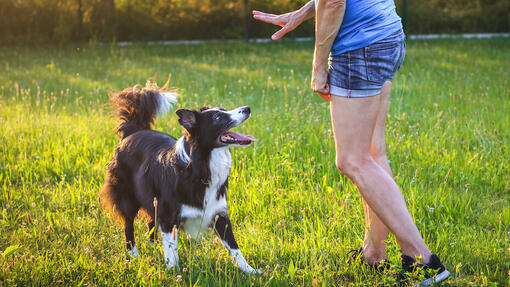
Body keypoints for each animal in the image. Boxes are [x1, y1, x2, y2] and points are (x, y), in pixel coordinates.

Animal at [99, 85, 258, 274]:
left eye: (224, 110)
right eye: (218, 117)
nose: (247, 108)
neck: (201, 166)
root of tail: (133, 132)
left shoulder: (218, 213)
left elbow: (235, 247)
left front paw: (250, 271)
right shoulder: (168, 215)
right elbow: (171, 249)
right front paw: (173, 272)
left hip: (152, 199)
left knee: (150, 223)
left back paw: (153, 246)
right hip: (127, 197)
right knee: (128, 226)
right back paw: (133, 255)